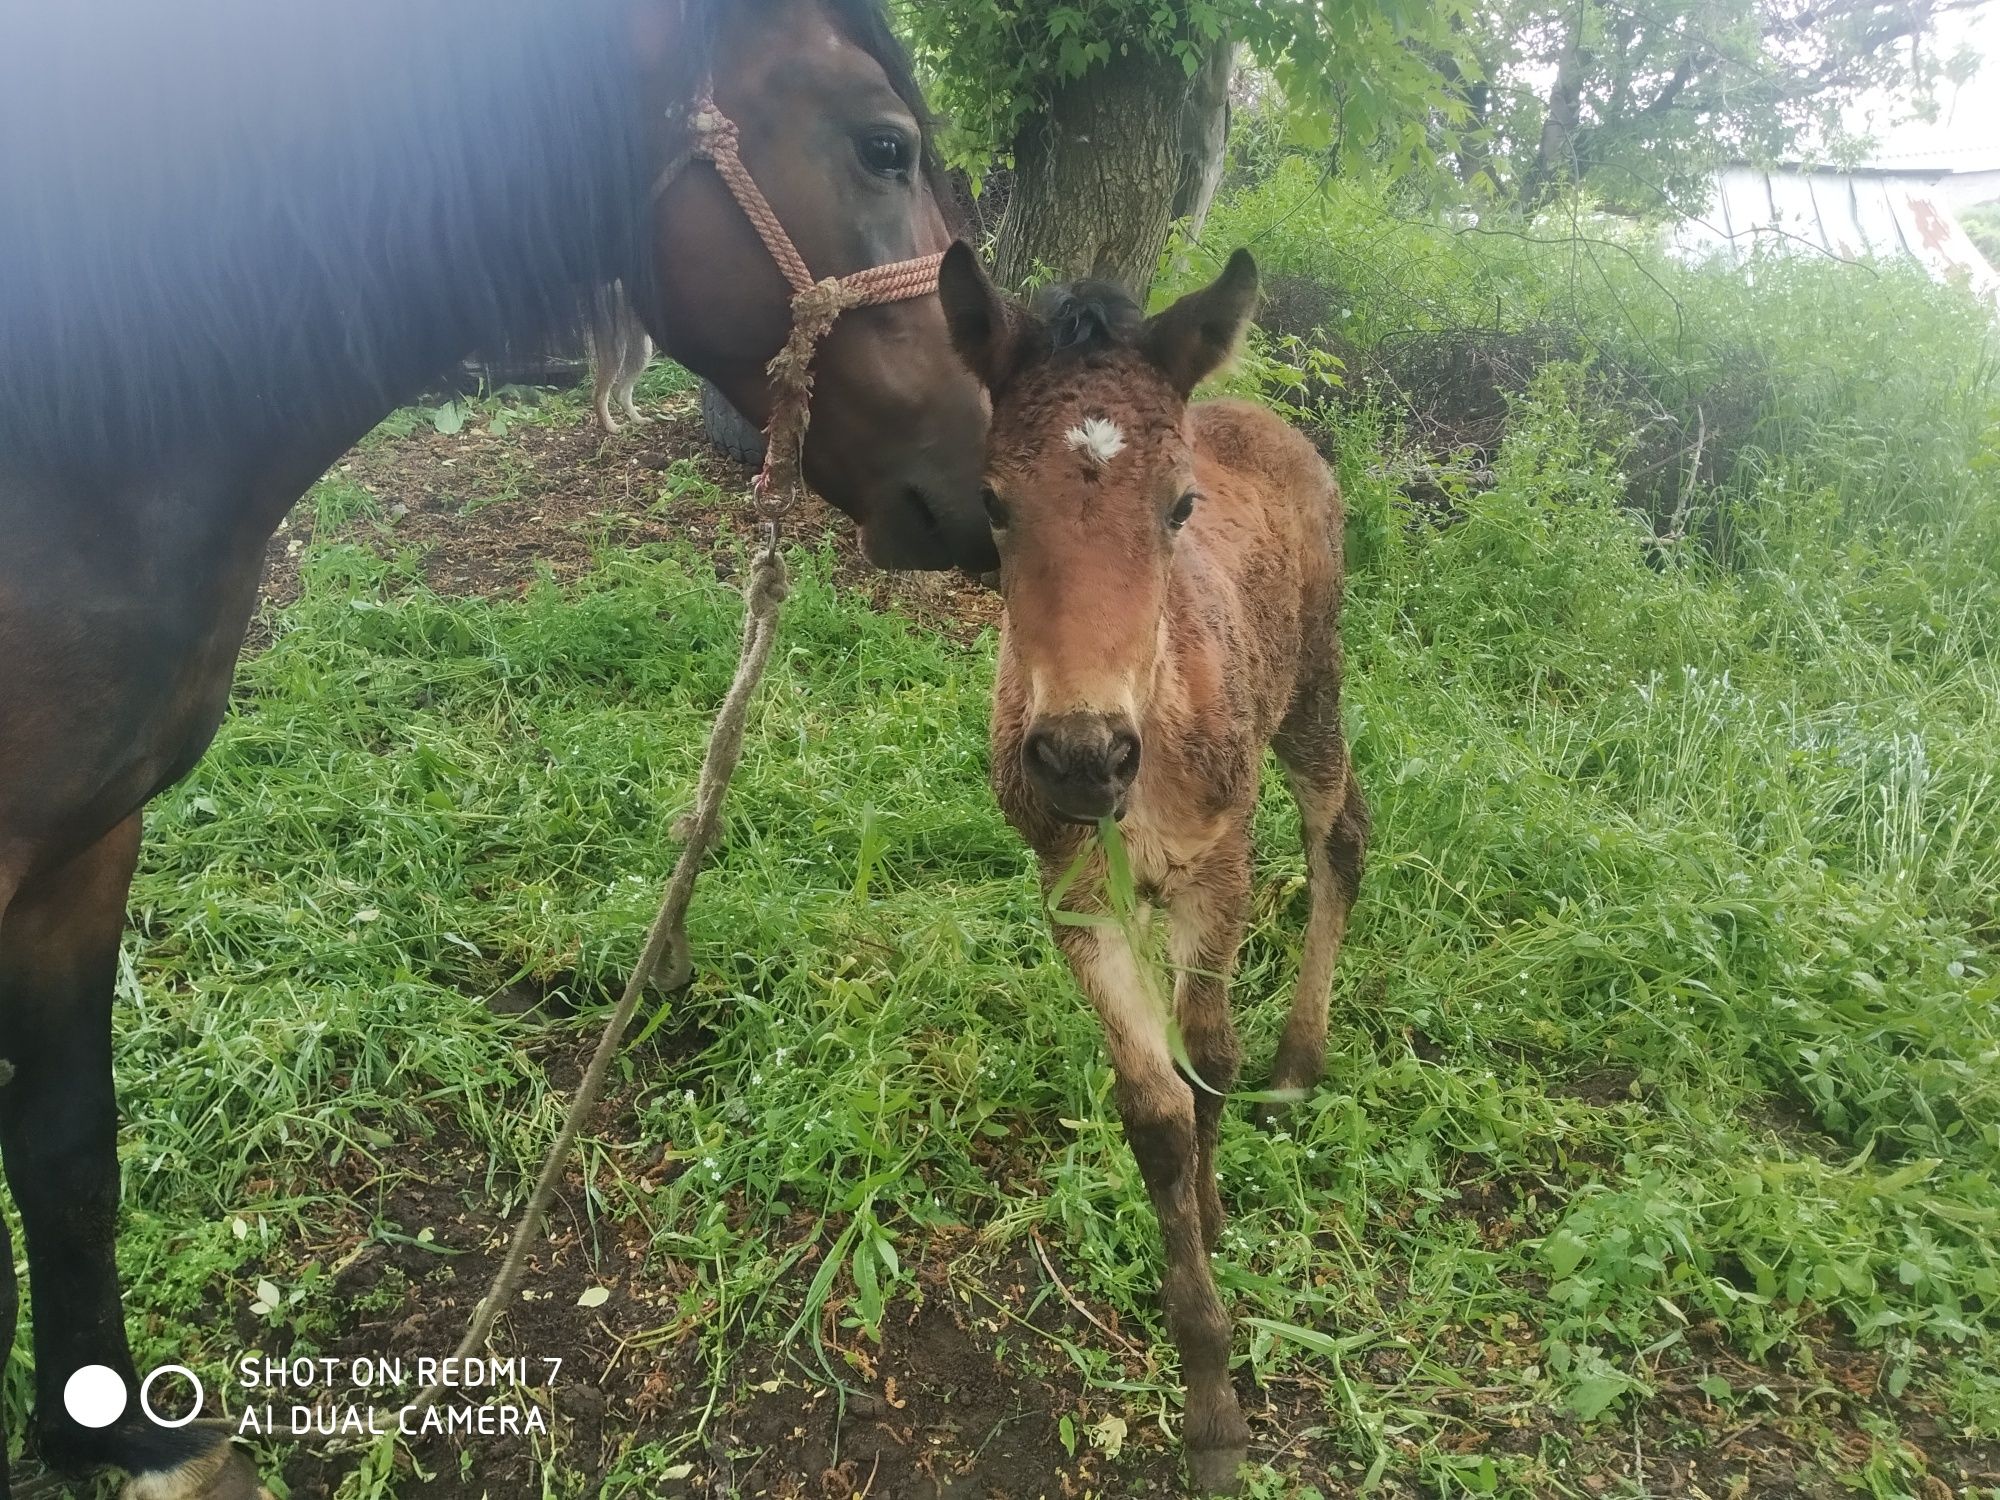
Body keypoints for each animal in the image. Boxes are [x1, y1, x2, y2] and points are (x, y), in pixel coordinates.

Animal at [940, 244, 1376, 1496]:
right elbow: (1154, 1110)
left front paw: (1219, 1242)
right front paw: (1205, 1381)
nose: (1082, 756)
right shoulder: (1072, 896)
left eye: (1178, 507)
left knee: (1342, 830)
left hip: (1313, 681)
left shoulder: (1215, 863)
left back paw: (1300, 1057)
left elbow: (1209, 1057)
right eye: (992, 504)